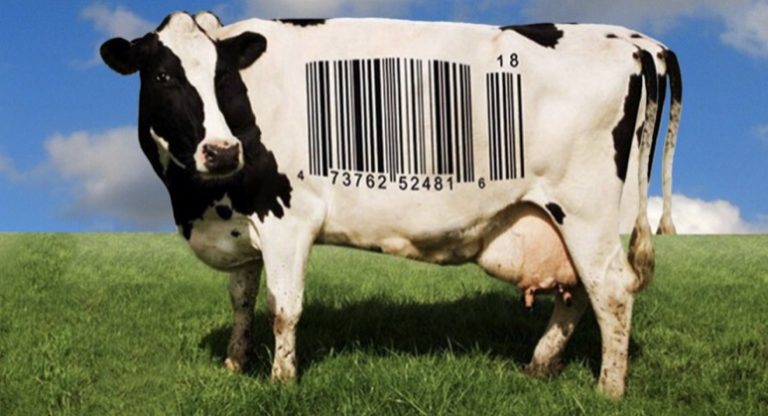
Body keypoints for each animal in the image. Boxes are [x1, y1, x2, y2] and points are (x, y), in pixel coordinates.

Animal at [100, 11, 682, 397]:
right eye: (162, 76)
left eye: (222, 78)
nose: (222, 151)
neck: (199, 203)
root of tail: (633, 39)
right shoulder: (241, 224)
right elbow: (242, 303)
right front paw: (235, 365)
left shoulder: (288, 219)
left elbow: (283, 308)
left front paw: (282, 380)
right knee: (580, 291)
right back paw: (539, 366)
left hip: (586, 212)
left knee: (612, 292)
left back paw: (609, 389)